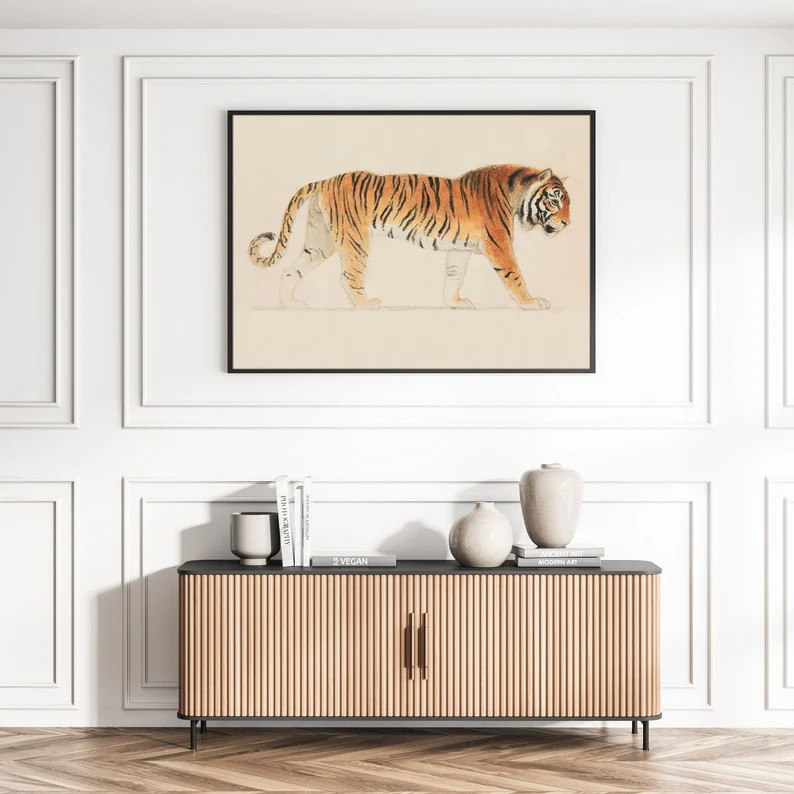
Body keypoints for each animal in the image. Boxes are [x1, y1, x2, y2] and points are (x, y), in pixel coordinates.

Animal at [247, 164, 570, 310]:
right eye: (555, 200)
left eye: (567, 201)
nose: (568, 223)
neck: (517, 193)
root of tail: (325, 179)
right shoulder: (499, 244)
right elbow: (515, 275)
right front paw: (532, 302)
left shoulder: (460, 248)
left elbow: (453, 276)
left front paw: (454, 303)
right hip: (355, 238)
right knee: (348, 276)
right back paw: (367, 304)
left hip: (320, 241)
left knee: (291, 270)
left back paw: (290, 303)